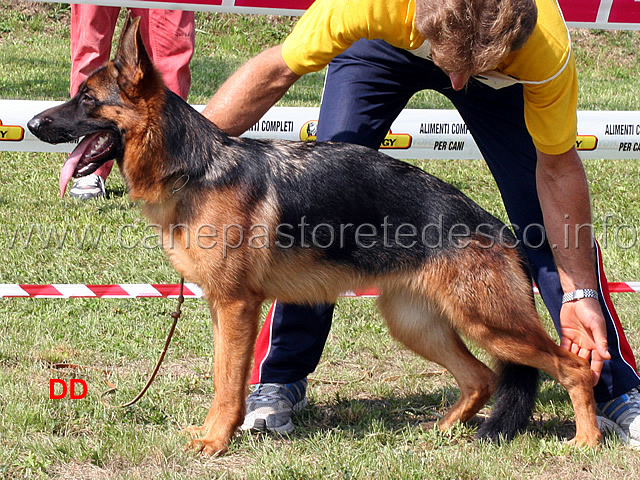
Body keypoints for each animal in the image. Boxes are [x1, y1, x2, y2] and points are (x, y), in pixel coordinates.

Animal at [27, 17, 604, 454]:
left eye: (86, 98)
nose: (32, 124)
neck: (195, 167)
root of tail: (494, 225)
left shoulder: (236, 306)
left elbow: (228, 385)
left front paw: (216, 441)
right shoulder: (220, 308)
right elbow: (221, 376)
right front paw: (215, 434)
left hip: (491, 324)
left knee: (575, 368)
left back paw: (587, 440)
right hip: (417, 324)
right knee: (481, 378)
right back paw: (440, 431)